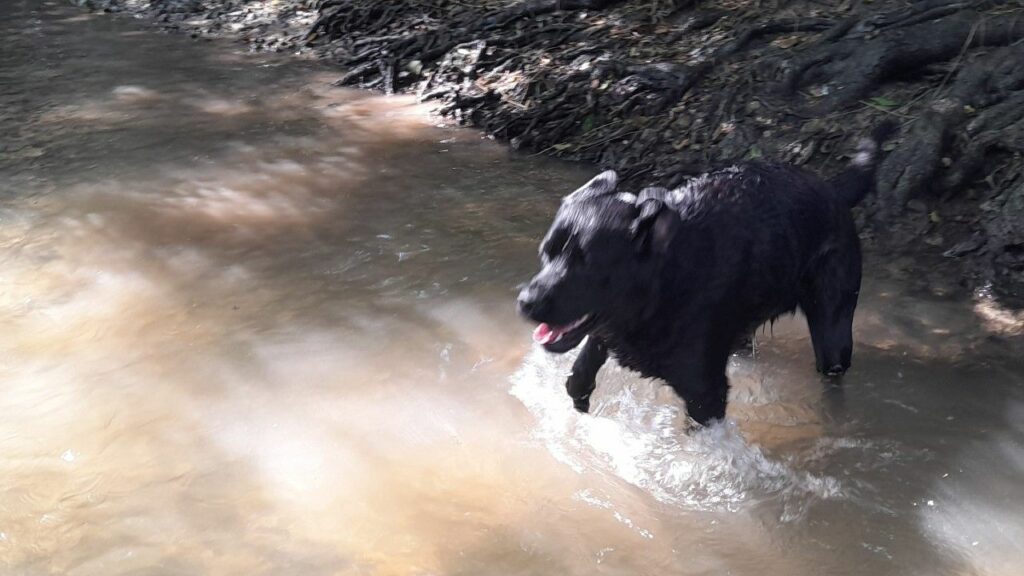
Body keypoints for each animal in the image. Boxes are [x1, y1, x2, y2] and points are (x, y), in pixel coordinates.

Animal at [516, 123, 892, 424]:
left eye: (588, 263)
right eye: (546, 253)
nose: (525, 301)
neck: (666, 282)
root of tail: (833, 190)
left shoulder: (705, 394)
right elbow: (582, 367)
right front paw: (579, 393)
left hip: (833, 326)